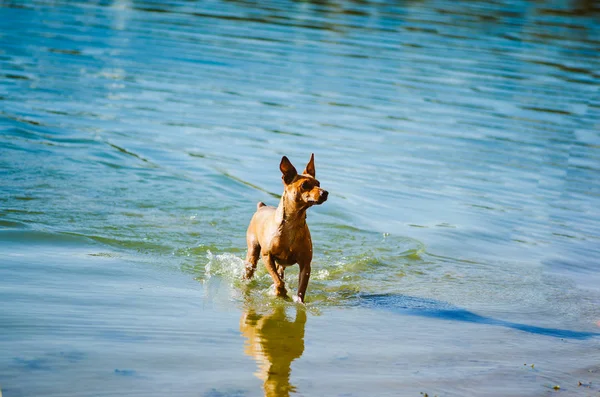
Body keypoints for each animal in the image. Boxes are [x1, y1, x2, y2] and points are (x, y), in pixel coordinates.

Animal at [244, 153, 328, 302]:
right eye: (304, 185)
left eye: (318, 184)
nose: (325, 192)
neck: (292, 224)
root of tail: (261, 207)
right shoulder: (267, 256)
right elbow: (278, 281)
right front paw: (281, 292)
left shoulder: (305, 264)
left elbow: (301, 290)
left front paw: (298, 301)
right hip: (253, 253)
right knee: (251, 269)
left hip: (280, 263)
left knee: (280, 271)